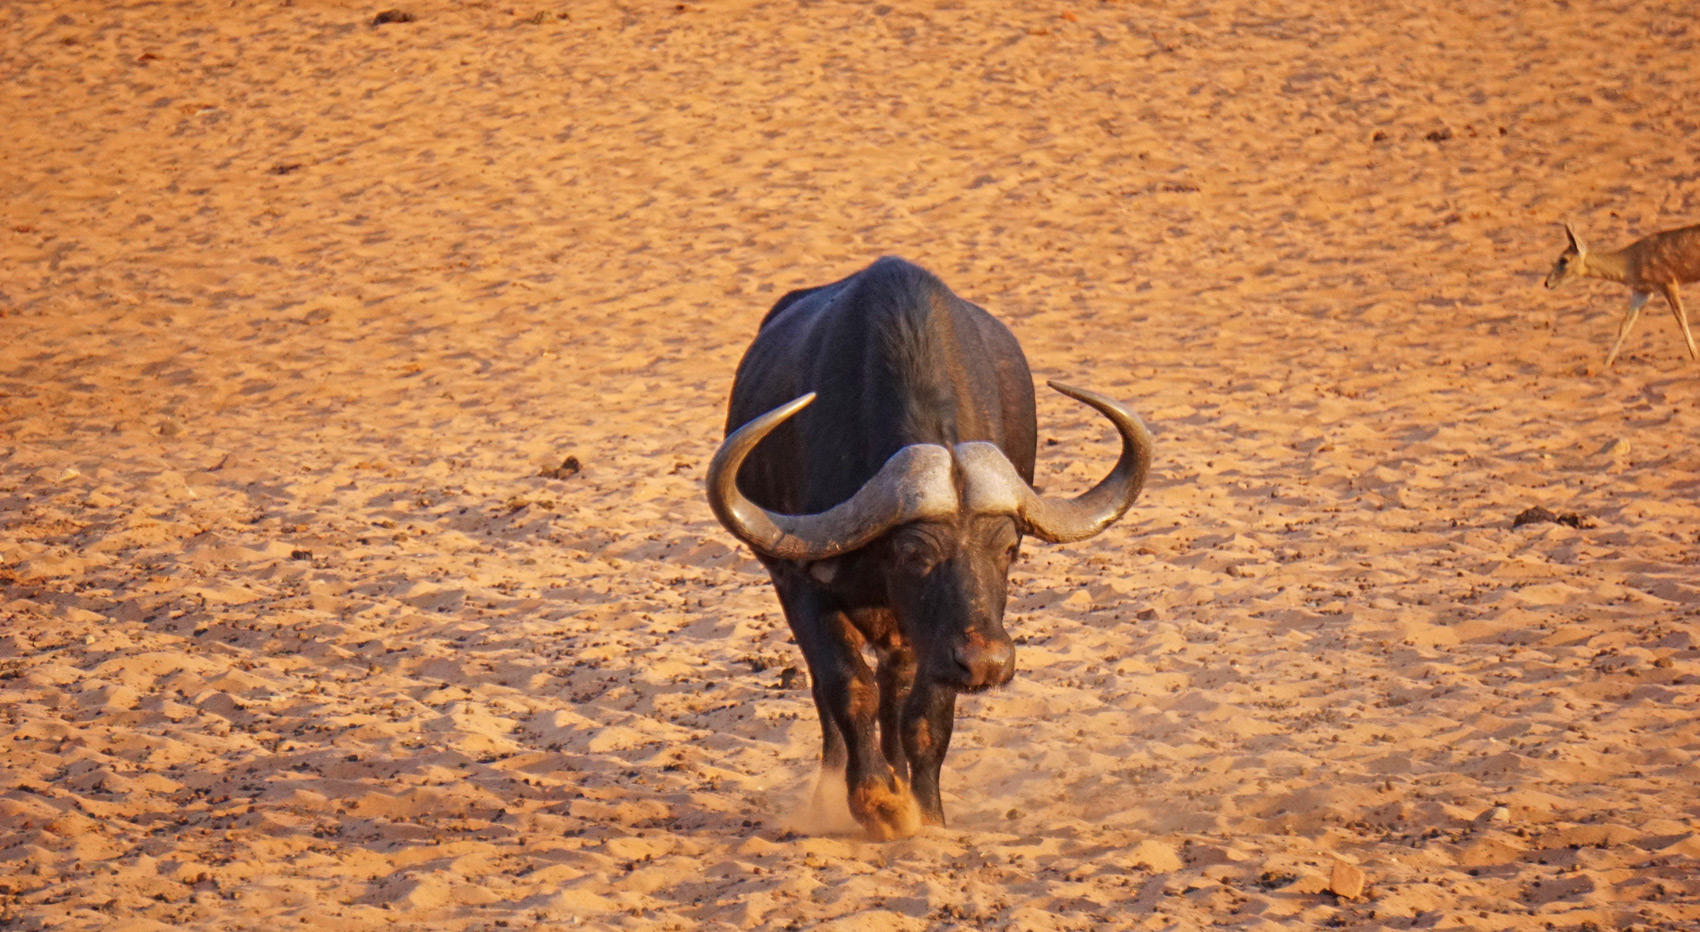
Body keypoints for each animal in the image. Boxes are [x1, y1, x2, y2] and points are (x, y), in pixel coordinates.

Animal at [707, 257, 1153, 838]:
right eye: (914, 553)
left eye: (1008, 549)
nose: (987, 662)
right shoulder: (800, 585)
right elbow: (847, 687)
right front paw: (879, 802)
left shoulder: (936, 640)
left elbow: (925, 717)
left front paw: (928, 813)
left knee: (894, 688)